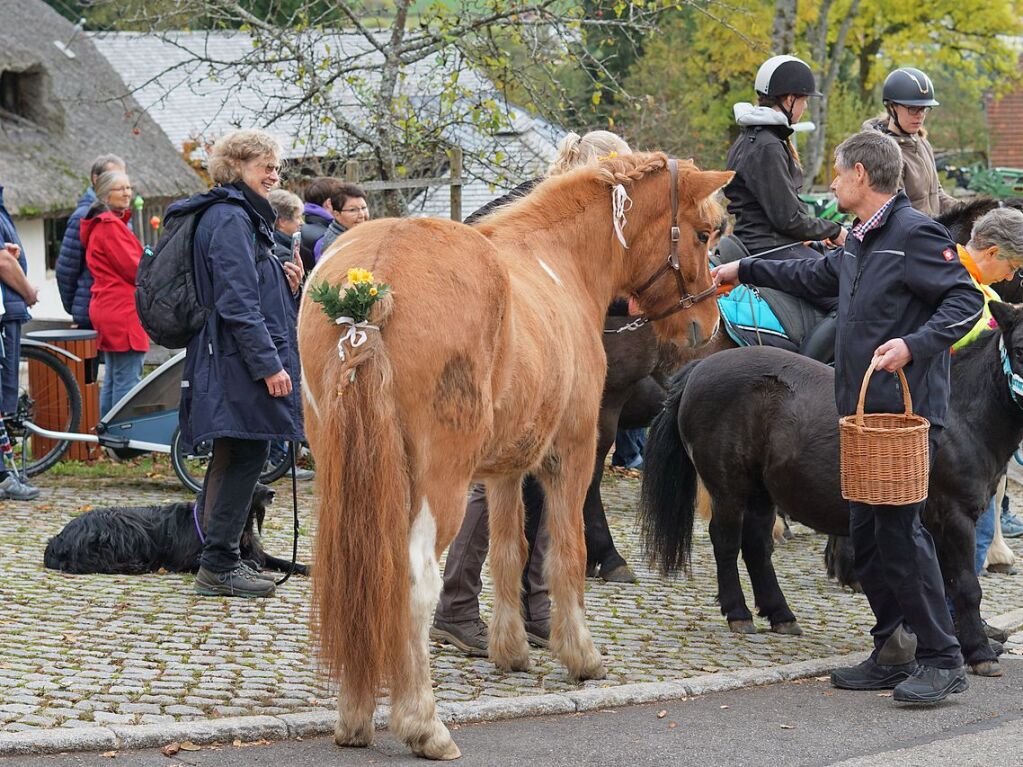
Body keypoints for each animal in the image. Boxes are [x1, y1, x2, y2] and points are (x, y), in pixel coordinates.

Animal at [42, 486, 306, 576]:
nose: (271, 492)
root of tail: (57, 541)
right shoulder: (186, 559)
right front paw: (251, 566)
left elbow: (280, 560)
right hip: (126, 525)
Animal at [298, 153, 732, 760]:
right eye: (703, 232)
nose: (705, 325)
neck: (558, 262)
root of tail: (368, 285)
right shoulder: (574, 453)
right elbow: (566, 553)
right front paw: (581, 654)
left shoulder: (503, 471)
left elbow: (507, 551)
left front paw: (511, 650)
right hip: (438, 485)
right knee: (414, 584)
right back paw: (423, 723)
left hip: (351, 479)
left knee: (359, 573)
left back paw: (356, 715)